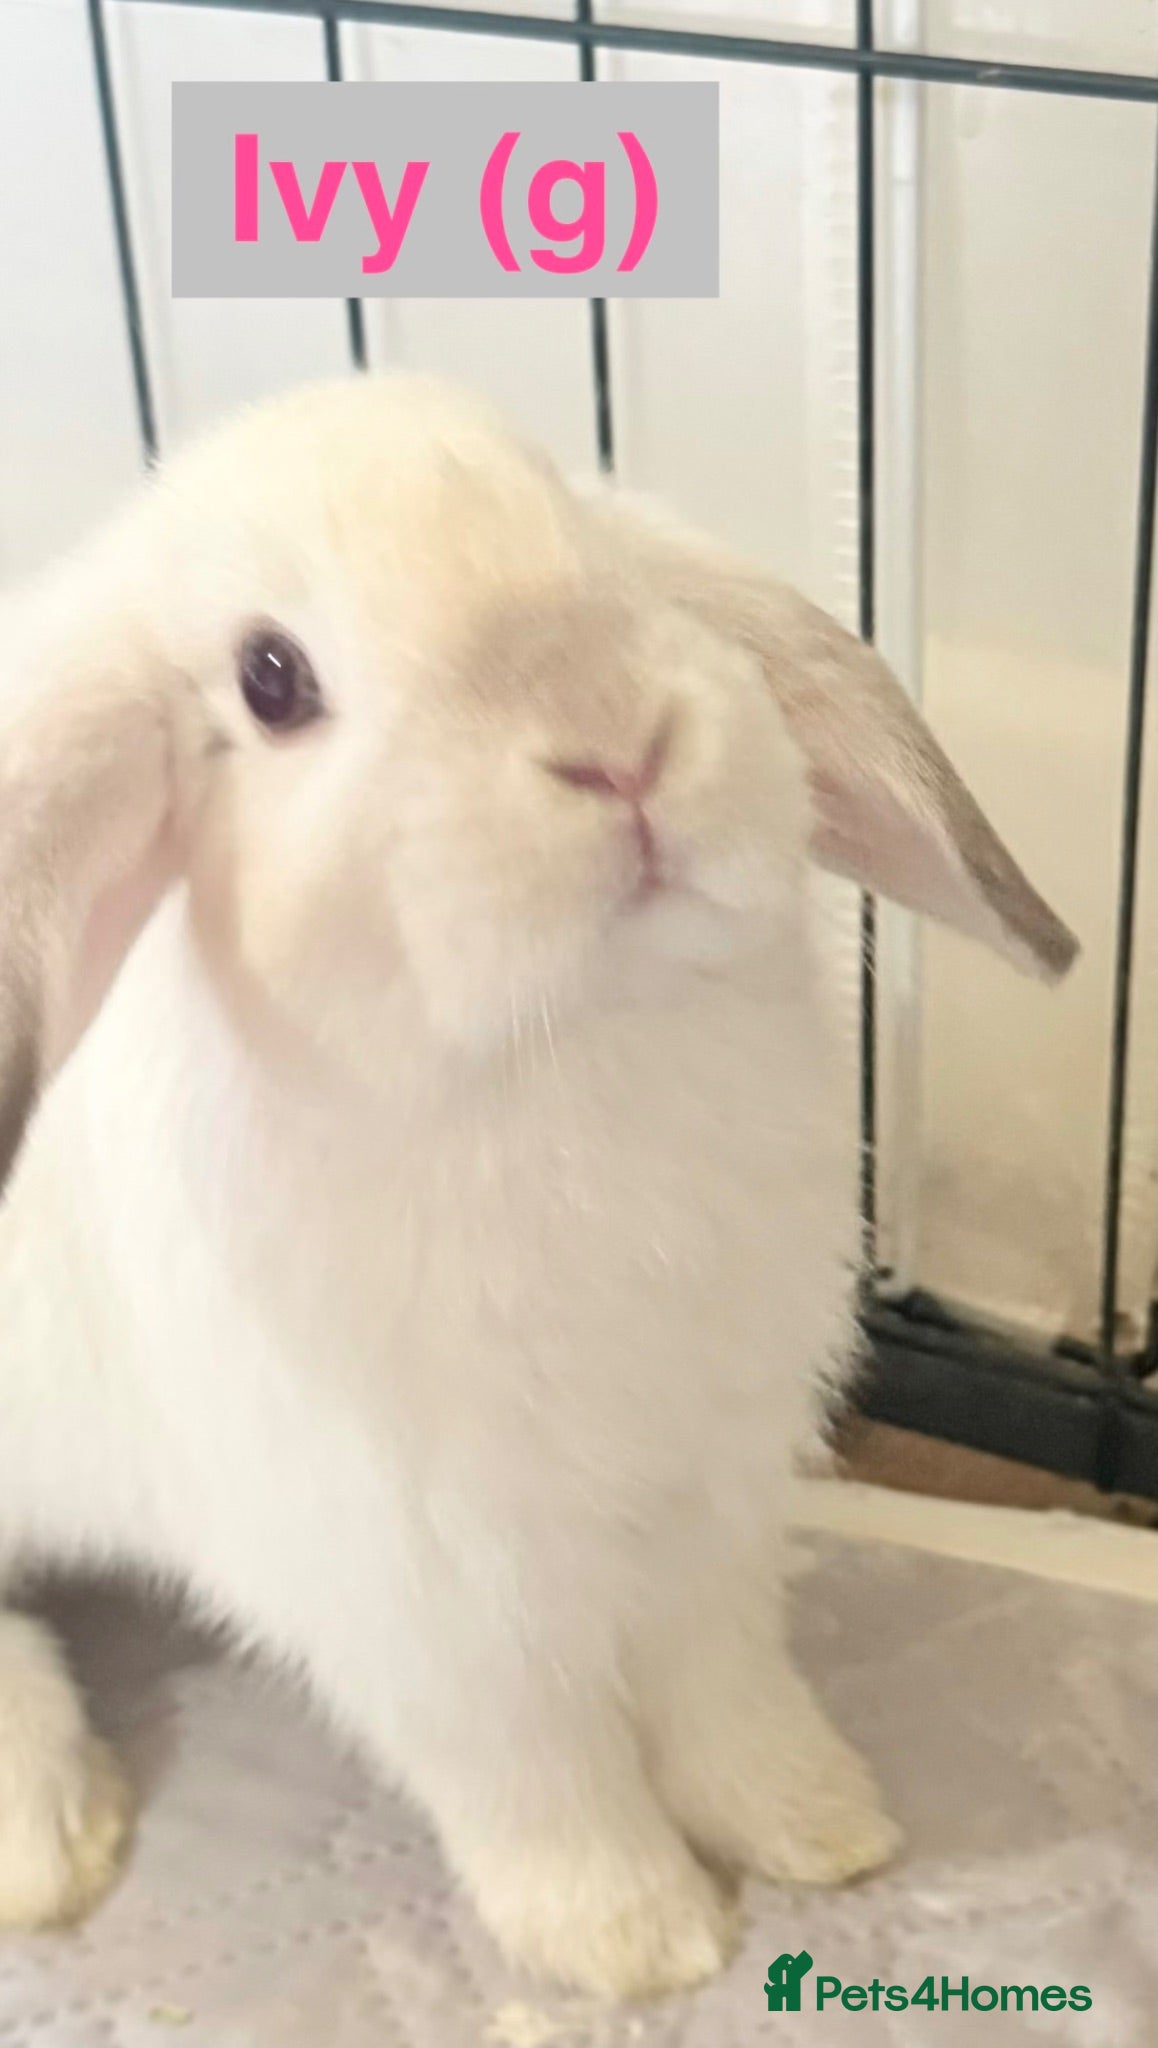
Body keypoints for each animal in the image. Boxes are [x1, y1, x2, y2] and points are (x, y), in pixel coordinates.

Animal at [0, 374, 1076, 1998]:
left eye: (591, 542)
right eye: (269, 678)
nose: (613, 741)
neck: (558, 1055)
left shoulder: (708, 1502)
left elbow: (723, 1681)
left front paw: (818, 1824)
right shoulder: (424, 1602)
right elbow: (534, 1769)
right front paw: (640, 1940)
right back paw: (48, 1839)